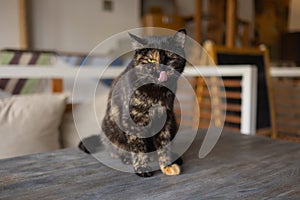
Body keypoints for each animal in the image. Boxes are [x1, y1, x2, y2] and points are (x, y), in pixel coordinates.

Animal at [81, 29, 186, 177]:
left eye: (170, 58)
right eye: (151, 60)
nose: (161, 71)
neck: (155, 93)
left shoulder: (165, 118)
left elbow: (164, 144)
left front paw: (167, 165)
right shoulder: (132, 120)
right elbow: (138, 146)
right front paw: (142, 167)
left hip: (173, 121)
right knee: (116, 150)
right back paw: (126, 158)